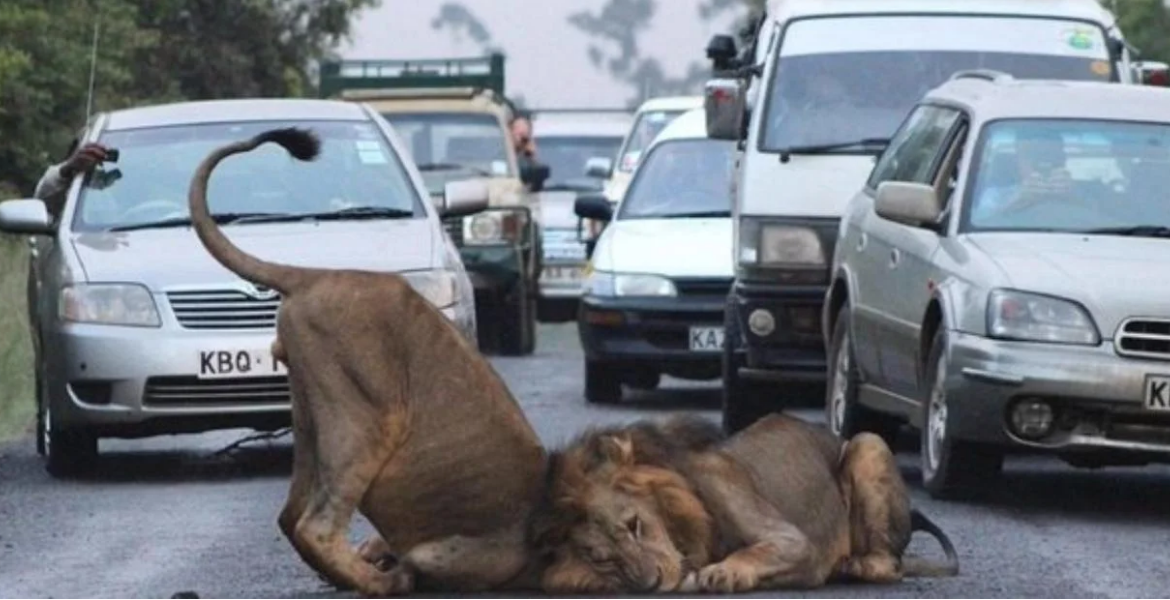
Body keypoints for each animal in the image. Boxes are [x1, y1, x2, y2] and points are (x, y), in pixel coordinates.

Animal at [186, 127, 552, 596]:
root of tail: (316, 275)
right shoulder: (477, 555)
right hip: (367, 414)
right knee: (315, 526)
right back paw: (383, 582)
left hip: (310, 412)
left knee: (291, 514)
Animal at [529, 412, 959, 594]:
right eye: (602, 558)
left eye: (635, 524)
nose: (651, 584)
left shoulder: (794, 541)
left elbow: (761, 550)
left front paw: (725, 572)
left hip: (868, 442)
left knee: (890, 566)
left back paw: (851, 565)